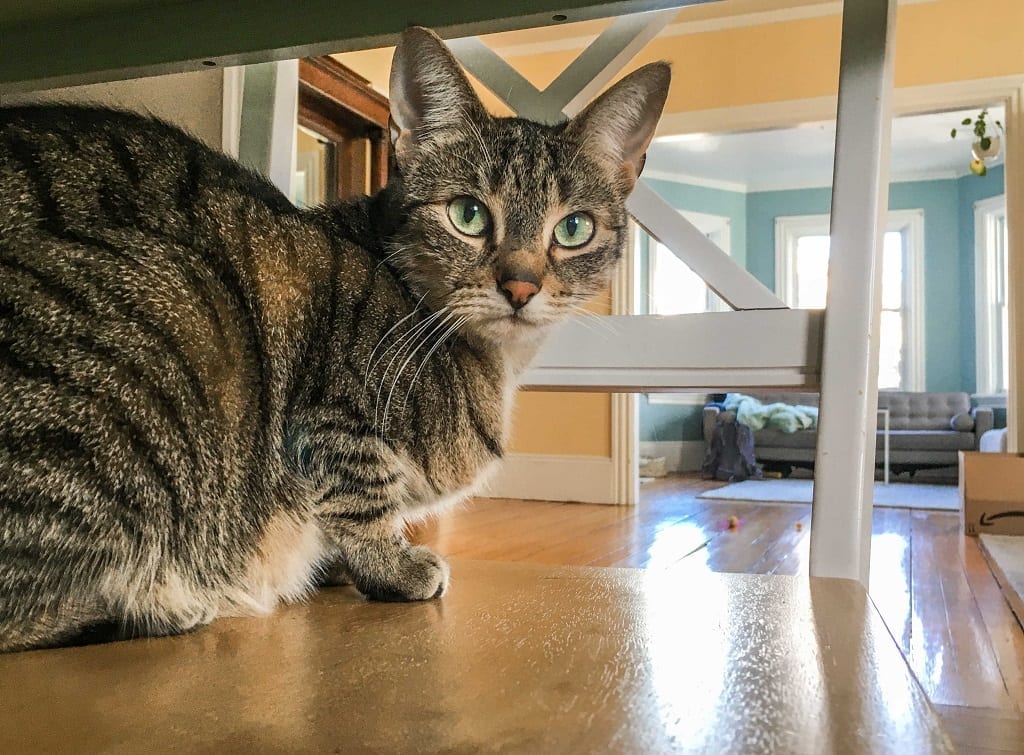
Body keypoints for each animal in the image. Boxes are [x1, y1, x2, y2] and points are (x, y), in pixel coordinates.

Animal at [0, 23, 671, 647]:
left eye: (574, 228)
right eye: (468, 215)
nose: (521, 286)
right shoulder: (332, 413)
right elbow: (361, 494)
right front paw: (390, 565)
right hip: (176, 306)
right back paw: (171, 601)